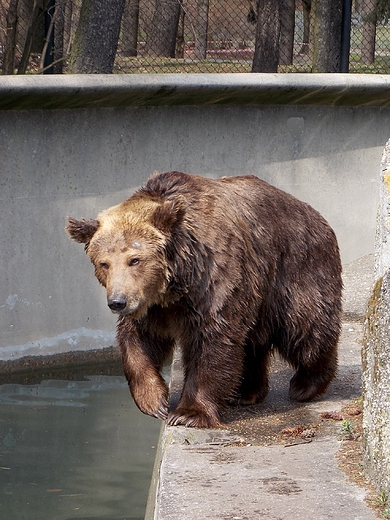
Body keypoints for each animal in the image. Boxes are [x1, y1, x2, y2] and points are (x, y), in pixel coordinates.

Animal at [66, 171, 342, 426]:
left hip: (293, 270)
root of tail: (313, 212)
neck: (173, 287)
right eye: (104, 263)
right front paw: (155, 401)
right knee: (252, 340)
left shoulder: (212, 281)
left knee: (304, 328)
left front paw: (188, 413)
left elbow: (212, 339)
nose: (117, 302)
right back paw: (246, 391)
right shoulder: (149, 306)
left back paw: (306, 384)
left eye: (135, 259)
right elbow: (138, 342)